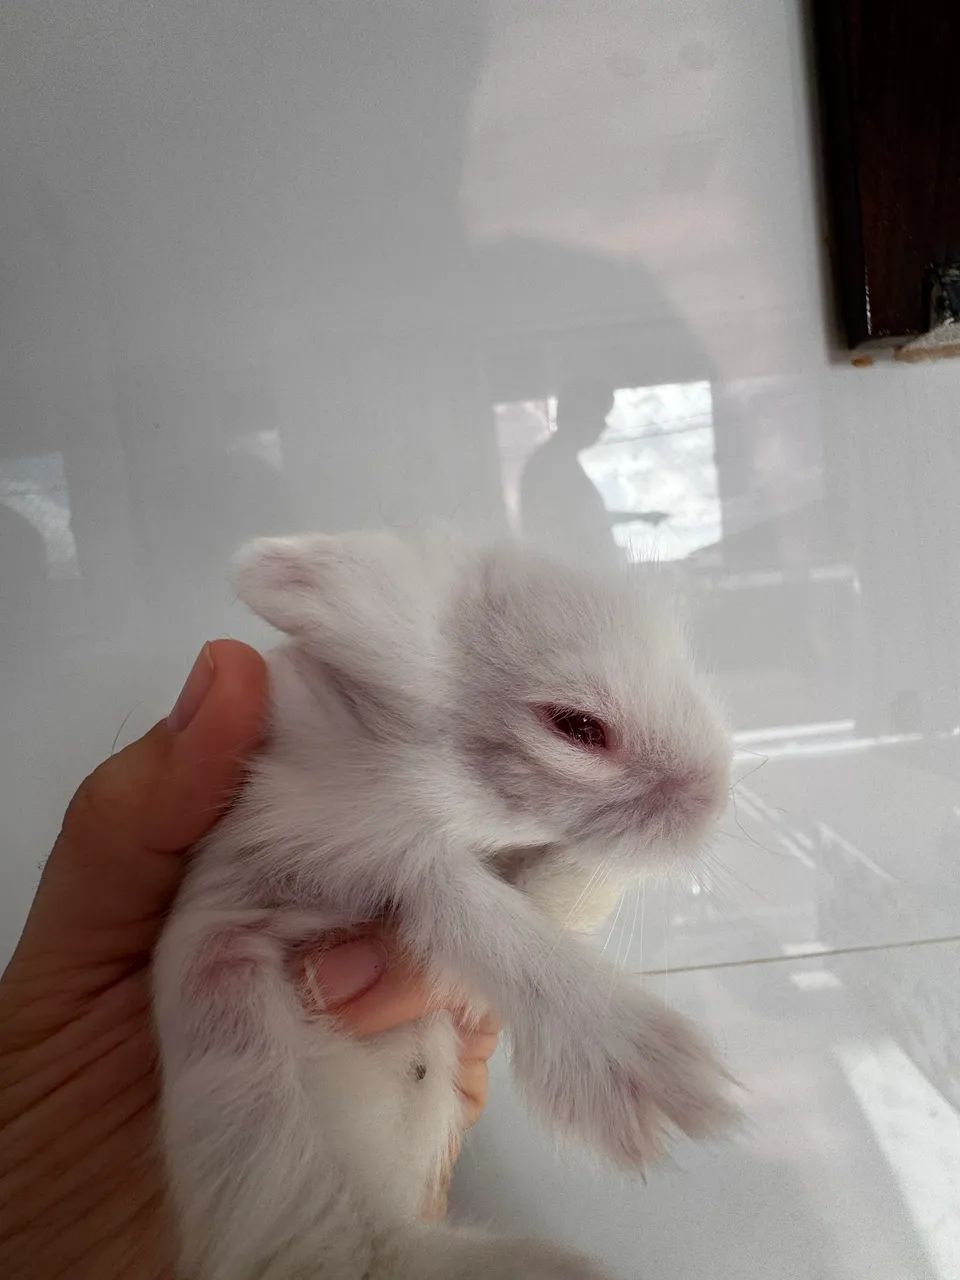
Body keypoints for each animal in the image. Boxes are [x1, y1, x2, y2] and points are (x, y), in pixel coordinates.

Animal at [153, 530, 737, 1280]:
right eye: (578, 727)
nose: (714, 798)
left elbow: (545, 893)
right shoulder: (340, 831)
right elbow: (465, 903)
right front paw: (647, 1071)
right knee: (359, 1250)